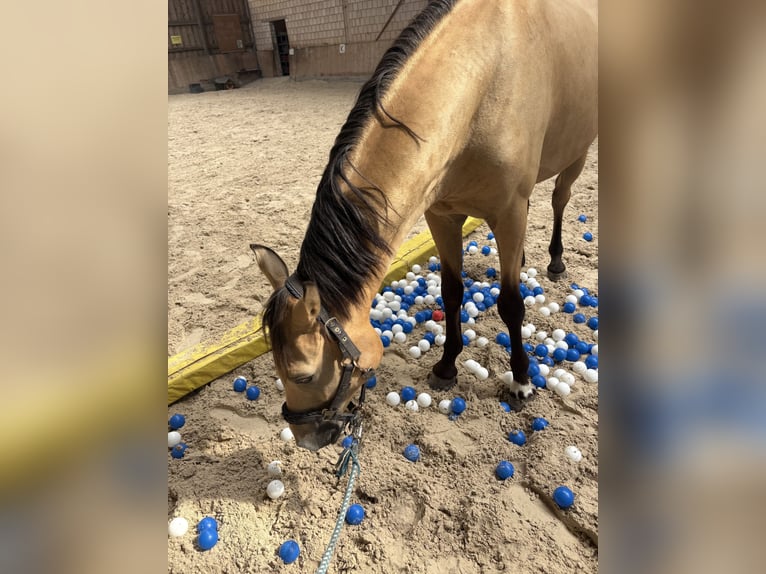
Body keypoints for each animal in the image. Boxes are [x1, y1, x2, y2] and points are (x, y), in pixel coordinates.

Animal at [251, 0, 597, 451]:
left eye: (304, 375)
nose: (305, 437)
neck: (483, 77)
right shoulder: (442, 215)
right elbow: (451, 293)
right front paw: (447, 366)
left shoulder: (508, 213)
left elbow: (511, 304)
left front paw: (521, 379)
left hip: (577, 153)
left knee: (559, 199)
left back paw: (556, 261)